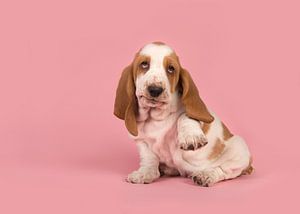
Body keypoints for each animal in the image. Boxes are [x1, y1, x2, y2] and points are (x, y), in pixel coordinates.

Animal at [113, 41, 252, 186]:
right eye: (144, 64)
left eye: (171, 69)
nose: (155, 90)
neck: (155, 117)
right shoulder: (142, 142)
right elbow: (148, 160)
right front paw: (144, 173)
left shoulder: (196, 115)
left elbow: (185, 116)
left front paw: (191, 137)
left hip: (239, 148)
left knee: (225, 170)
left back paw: (206, 174)